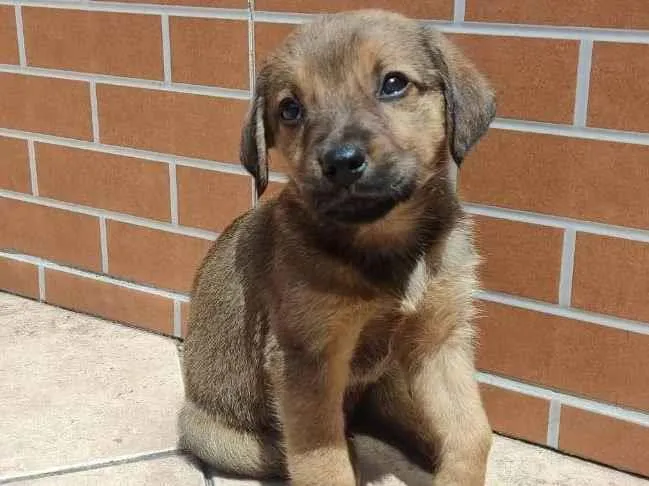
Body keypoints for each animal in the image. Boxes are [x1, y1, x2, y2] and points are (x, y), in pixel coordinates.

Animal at [180, 8, 494, 486]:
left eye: (393, 83)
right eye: (290, 109)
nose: (341, 163)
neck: (385, 246)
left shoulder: (441, 340)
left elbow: (473, 432)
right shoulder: (309, 360)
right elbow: (323, 461)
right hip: (221, 437)